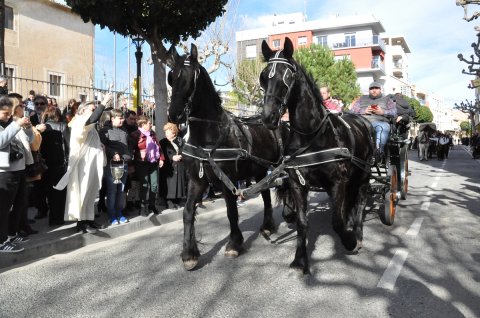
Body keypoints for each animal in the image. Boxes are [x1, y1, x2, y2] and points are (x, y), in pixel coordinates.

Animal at [168, 42, 282, 270]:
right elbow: (187, 212)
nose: (173, 114)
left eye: (190, 78)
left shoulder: (226, 180)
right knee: (265, 194)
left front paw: (234, 243)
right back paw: (267, 225)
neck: (208, 135)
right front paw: (189, 254)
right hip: (259, 170)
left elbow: (231, 211)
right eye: (171, 77)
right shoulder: (196, 181)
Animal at [260, 37, 374, 274]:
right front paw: (300, 259)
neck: (311, 136)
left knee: (359, 202)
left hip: (364, 174)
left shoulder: (338, 182)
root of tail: (364, 121)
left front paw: (350, 240)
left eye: (288, 77)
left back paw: (357, 233)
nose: (268, 117)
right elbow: (303, 222)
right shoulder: (297, 184)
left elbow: (337, 222)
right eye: (264, 77)